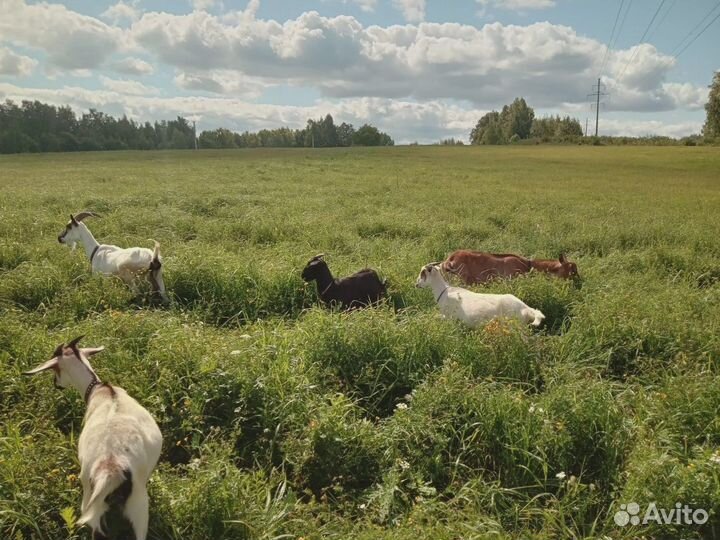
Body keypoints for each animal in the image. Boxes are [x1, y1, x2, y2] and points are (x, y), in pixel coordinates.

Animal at [24, 336, 162, 540]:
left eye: (56, 369)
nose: (56, 384)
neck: (100, 390)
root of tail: (110, 469)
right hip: (130, 504)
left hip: (97, 501)